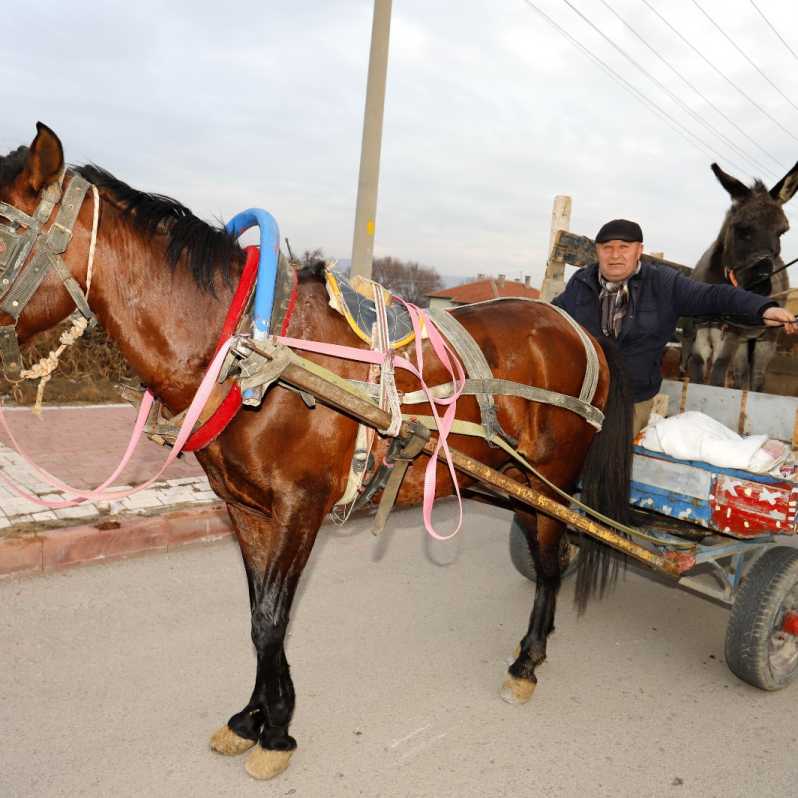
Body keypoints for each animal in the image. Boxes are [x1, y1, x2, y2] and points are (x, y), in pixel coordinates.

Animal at [1, 125, 636, 780]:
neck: (249, 348)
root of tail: (584, 333)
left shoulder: (300, 506)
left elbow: (272, 618)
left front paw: (277, 731)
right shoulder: (247, 508)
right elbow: (259, 617)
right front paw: (252, 719)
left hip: (547, 481)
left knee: (551, 562)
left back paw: (528, 660)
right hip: (509, 478)